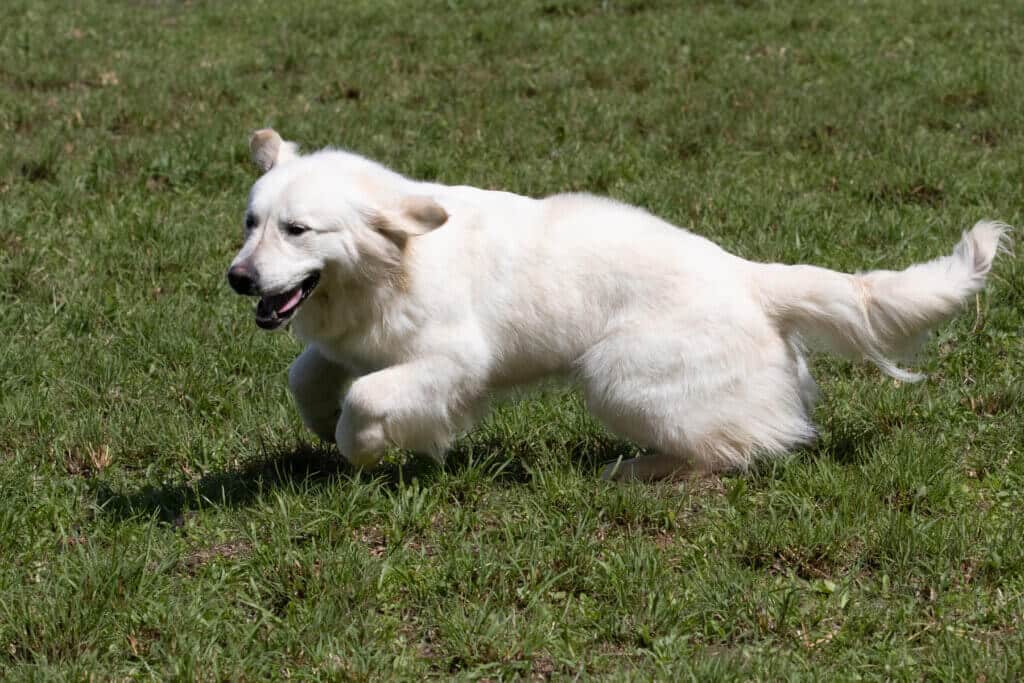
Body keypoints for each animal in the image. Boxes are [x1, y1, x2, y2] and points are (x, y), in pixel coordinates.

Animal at [228, 127, 1003, 481]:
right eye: (250, 221)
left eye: (298, 230)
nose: (238, 278)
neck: (396, 261)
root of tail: (751, 276)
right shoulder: (349, 342)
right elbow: (305, 375)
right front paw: (322, 419)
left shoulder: (453, 363)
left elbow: (365, 402)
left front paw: (360, 446)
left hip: (618, 376)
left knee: (744, 445)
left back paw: (640, 472)